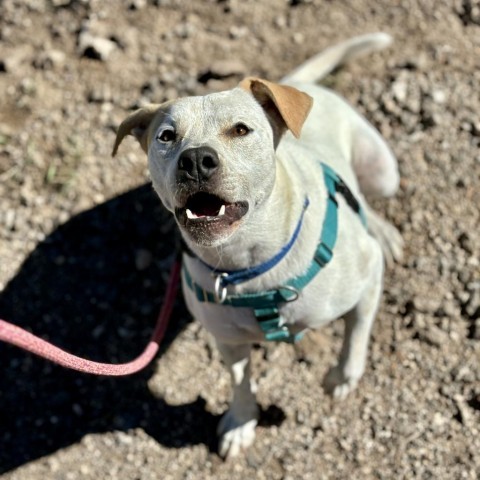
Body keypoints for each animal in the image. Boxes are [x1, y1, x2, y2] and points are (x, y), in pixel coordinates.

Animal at [114, 31, 404, 460]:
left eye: (240, 130)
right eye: (166, 137)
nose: (195, 160)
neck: (246, 260)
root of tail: (298, 84)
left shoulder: (367, 278)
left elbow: (356, 336)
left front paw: (340, 378)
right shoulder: (228, 339)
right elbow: (240, 380)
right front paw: (241, 421)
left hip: (384, 173)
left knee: (366, 200)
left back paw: (382, 231)